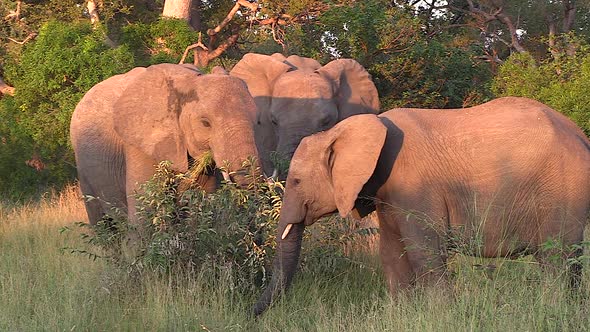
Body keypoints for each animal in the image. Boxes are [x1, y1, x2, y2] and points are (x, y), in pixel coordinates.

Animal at [254, 96, 590, 316]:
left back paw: (554, 309)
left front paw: (443, 314)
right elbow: (391, 253)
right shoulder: (388, 195)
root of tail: (580, 134)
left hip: (564, 187)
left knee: (556, 259)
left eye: (296, 181)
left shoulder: (415, 188)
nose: (252, 314)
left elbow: (423, 251)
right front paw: (402, 313)